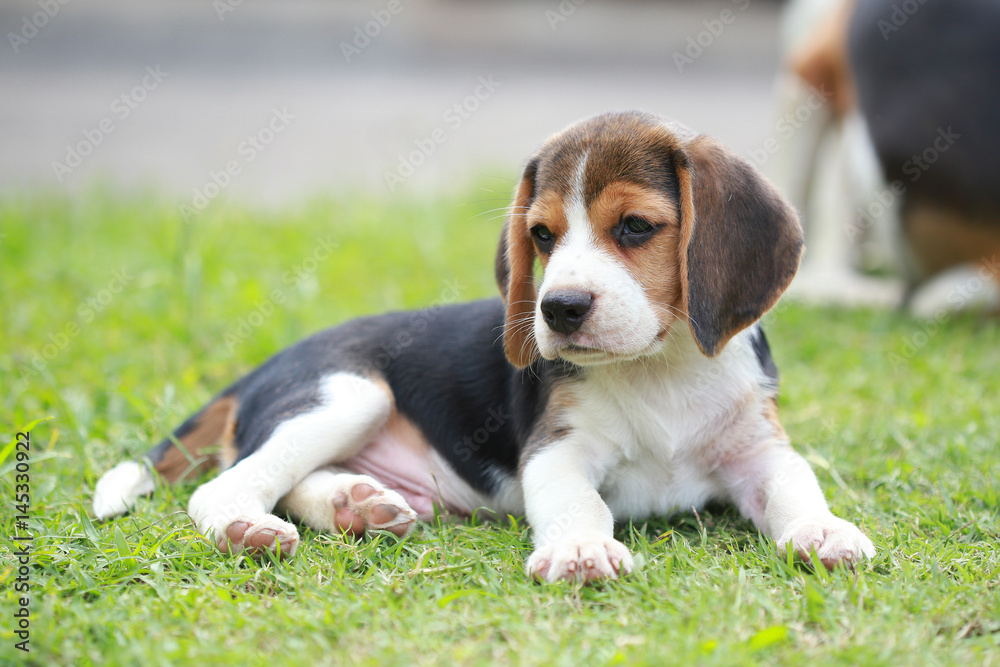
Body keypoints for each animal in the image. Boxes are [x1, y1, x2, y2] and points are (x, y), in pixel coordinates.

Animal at [95, 112, 876, 580]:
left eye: (634, 227)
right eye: (542, 235)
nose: (558, 309)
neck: (661, 367)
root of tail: (262, 367)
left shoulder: (759, 448)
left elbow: (796, 487)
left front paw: (825, 531)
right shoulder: (557, 451)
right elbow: (579, 503)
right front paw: (581, 548)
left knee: (295, 482)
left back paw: (357, 502)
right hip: (349, 392)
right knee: (229, 484)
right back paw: (248, 528)